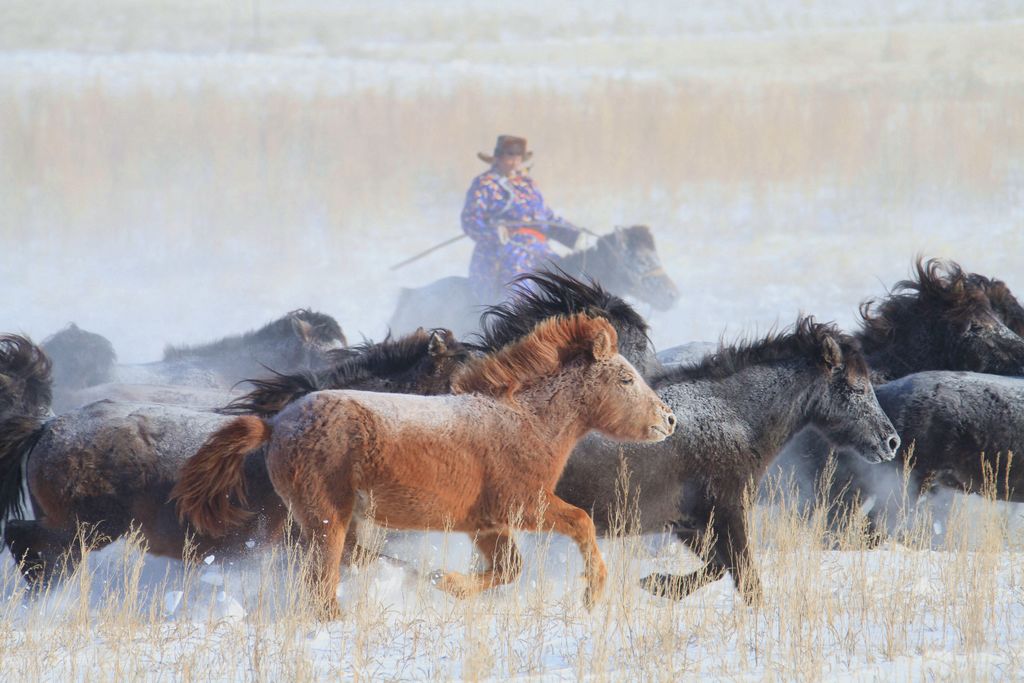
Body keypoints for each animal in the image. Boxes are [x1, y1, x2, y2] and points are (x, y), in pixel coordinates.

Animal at [172, 317, 675, 622]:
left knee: (350, 563)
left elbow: (509, 568)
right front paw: (593, 594)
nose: (669, 420)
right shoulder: (525, 506)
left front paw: (447, 583)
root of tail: (275, 424)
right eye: (626, 378)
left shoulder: (486, 523)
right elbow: (581, 522)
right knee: (322, 582)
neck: (522, 422)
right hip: (325, 520)